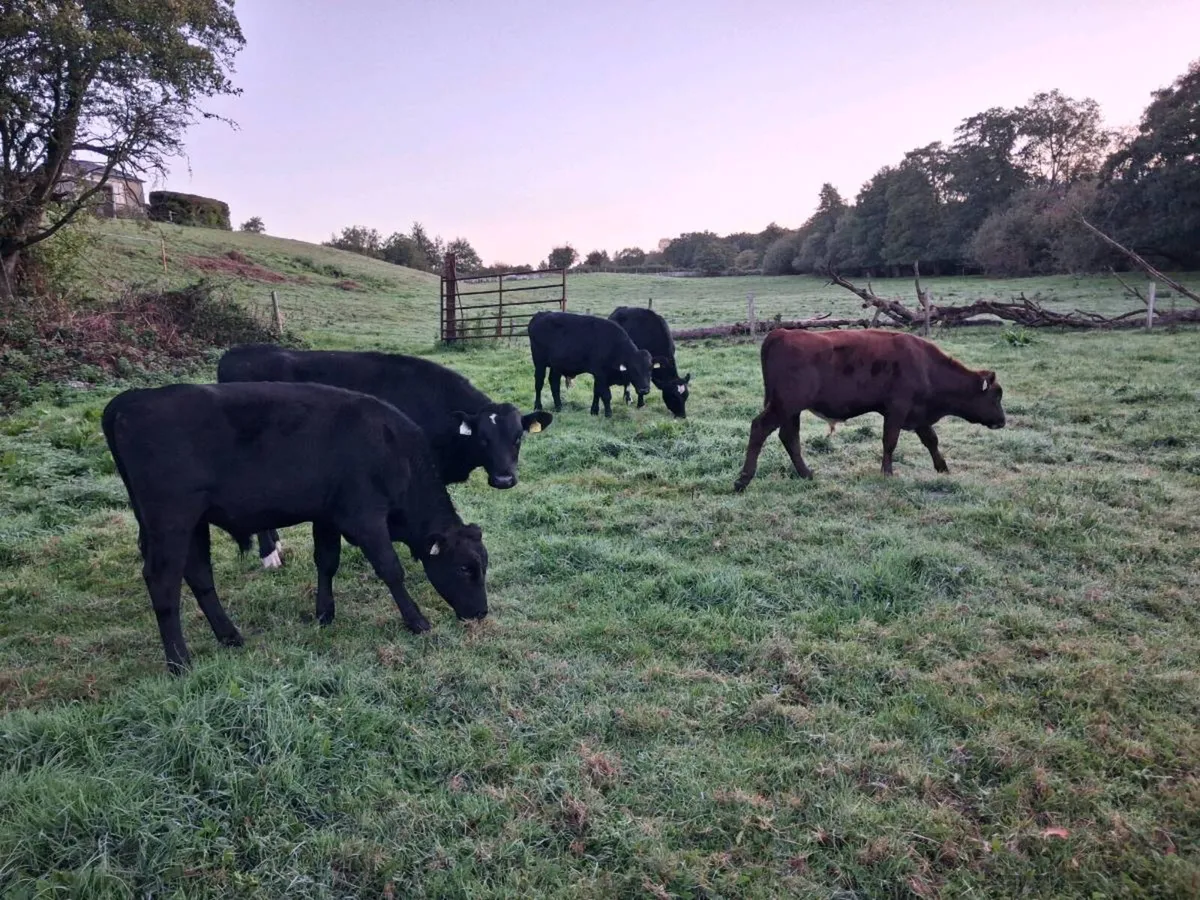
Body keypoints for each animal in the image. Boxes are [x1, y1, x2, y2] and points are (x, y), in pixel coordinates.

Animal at [102, 382, 489, 674]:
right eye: (464, 568)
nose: (481, 613)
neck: (394, 450)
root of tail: (132, 398)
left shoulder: (327, 516)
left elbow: (327, 562)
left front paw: (324, 614)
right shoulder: (365, 518)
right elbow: (390, 569)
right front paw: (417, 621)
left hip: (194, 523)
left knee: (199, 575)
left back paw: (230, 636)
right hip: (171, 521)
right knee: (163, 582)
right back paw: (180, 662)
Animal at [733, 329, 1006, 491]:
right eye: (996, 397)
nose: (1003, 421)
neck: (925, 365)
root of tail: (782, 333)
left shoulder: (918, 415)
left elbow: (931, 440)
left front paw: (942, 468)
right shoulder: (897, 410)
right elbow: (890, 441)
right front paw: (887, 473)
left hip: (791, 410)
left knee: (789, 437)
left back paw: (806, 474)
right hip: (784, 405)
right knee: (760, 428)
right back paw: (743, 480)